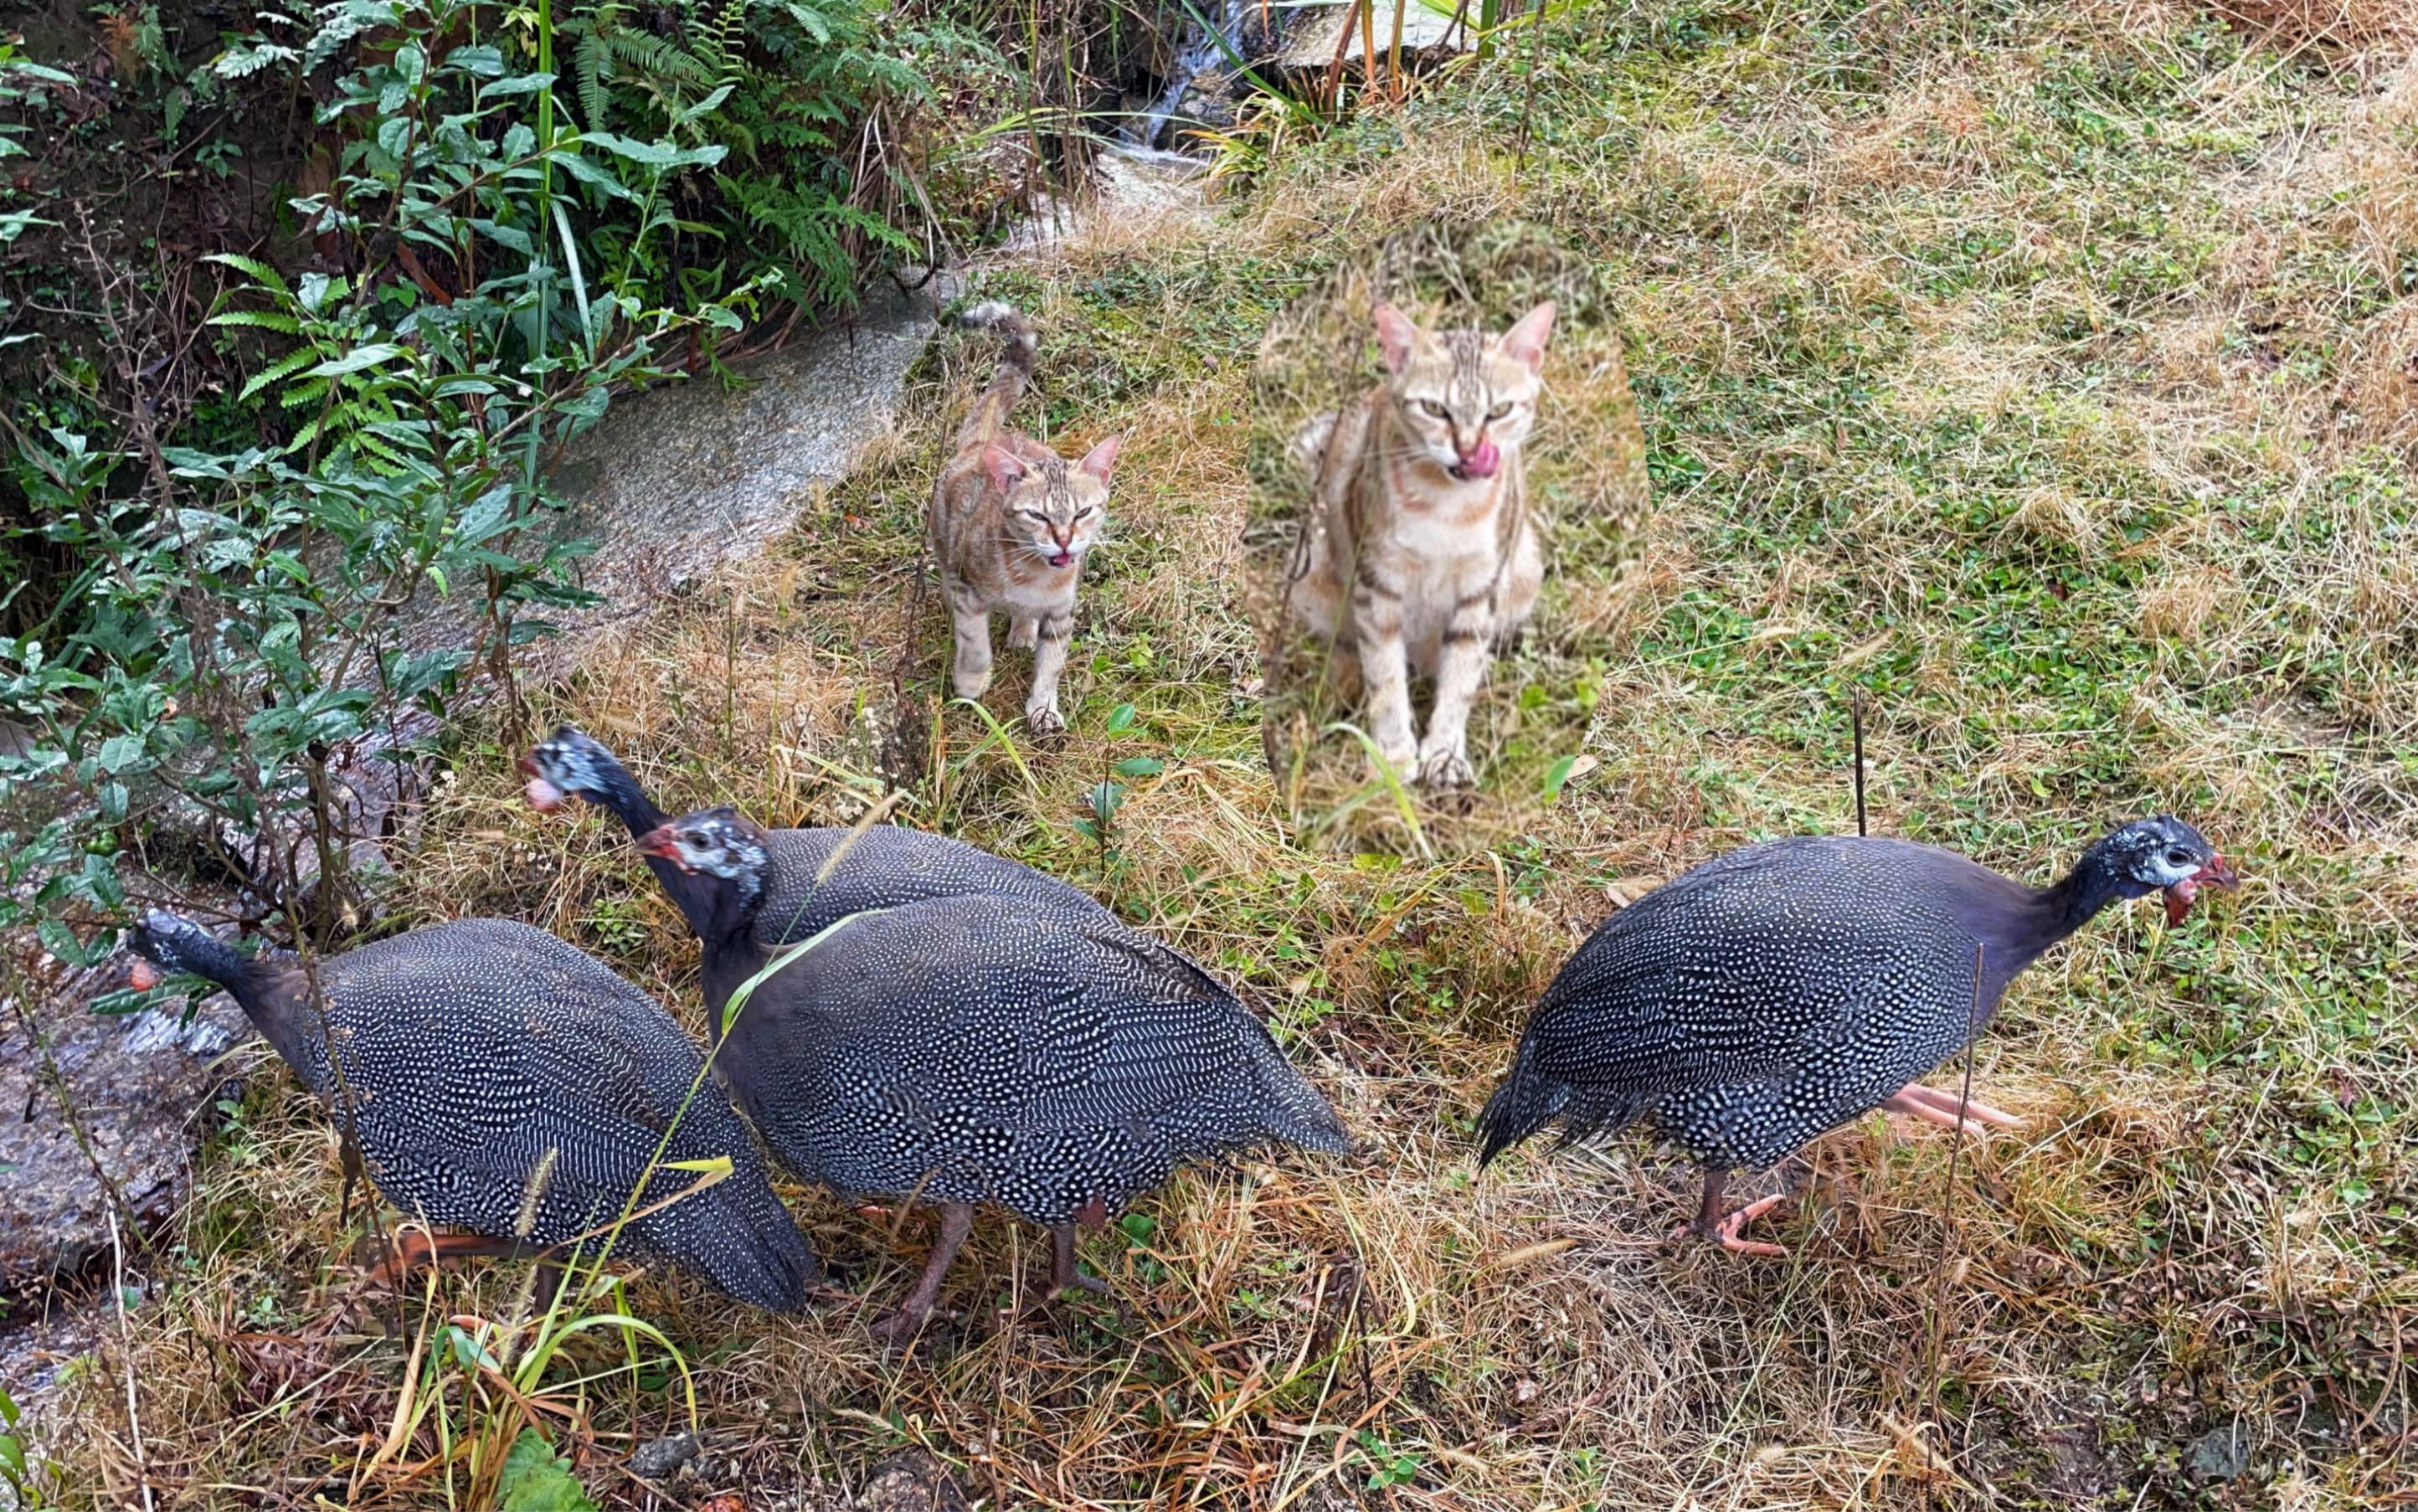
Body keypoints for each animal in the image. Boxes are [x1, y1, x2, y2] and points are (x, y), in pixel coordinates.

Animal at [928, 298, 1117, 735]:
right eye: (1037, 515)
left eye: (1083, 512)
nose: (1064, 540)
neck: (1035, 578)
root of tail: (985, 440)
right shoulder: (967, 589)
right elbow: (974, 643)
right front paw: (971, 683)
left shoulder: (1062, 609)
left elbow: (1053, 662)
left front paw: (1043, 706)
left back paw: (1024, 628)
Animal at [1276, 297, 1556, 789]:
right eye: (1434, 408)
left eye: (1500, 410)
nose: (1470, 452)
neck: (1447, 507)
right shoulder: (1378, 584)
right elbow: (1385, 676)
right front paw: (1393, 755)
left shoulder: (1480, 589)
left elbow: (1461, 676)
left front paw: (1443, 753)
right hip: (1314, 575)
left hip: (1524, 569)